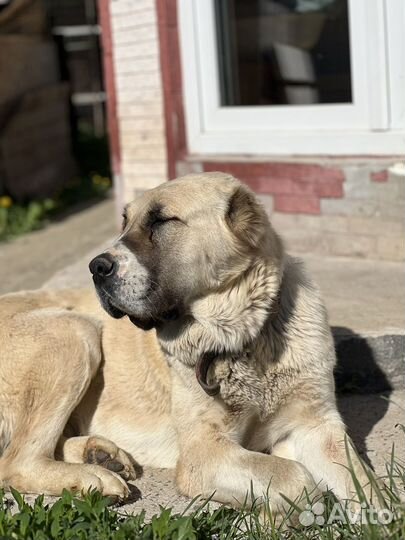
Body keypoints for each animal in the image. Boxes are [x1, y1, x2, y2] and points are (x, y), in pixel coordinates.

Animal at [0, 173, 374, 520]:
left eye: (161, 221)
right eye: (125, 222)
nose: (96, 267)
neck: (244, 339)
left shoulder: (317, 426)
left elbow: (363, 482)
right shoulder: (204, 453)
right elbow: (295, 477)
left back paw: (102, 455)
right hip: (77, 331)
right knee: (17, 461)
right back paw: (95, 477)